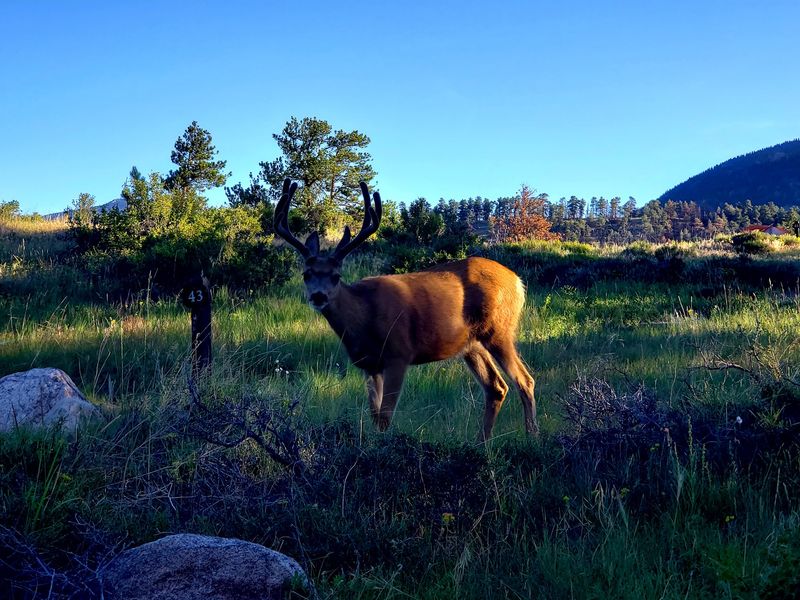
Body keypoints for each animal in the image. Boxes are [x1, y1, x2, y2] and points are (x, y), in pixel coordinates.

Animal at [274, 178, 537, 440]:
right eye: (306, 274)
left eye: (336, 276)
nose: (318, 296)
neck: (363, 318)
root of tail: (518, 281)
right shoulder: (369, 366)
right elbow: (374, 415)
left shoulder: (398, 353)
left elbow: (385, 416)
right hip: (471, 345)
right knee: (496, 387)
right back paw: (482, 441)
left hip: (499, 330)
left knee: (525, 380)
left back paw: (531, 436)